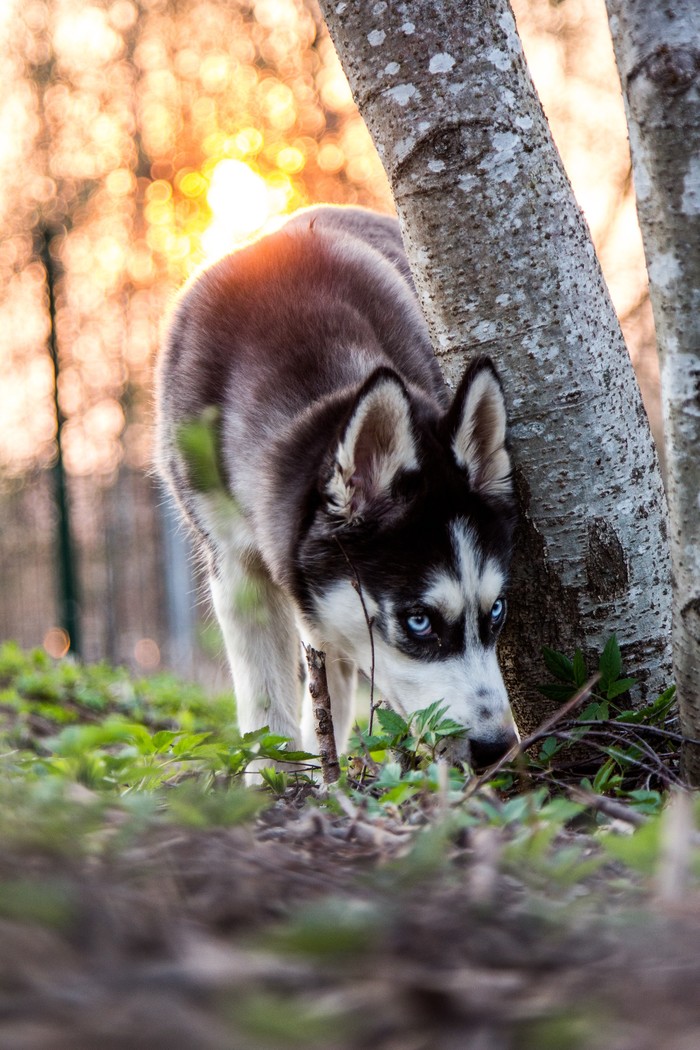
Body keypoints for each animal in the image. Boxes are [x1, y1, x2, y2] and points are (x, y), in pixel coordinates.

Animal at [158, 204, 520, 768]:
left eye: (496, 610)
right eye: (419, 621)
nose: (497, 748)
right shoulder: (235, 568)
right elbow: (266, 710)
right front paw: (277, 778)